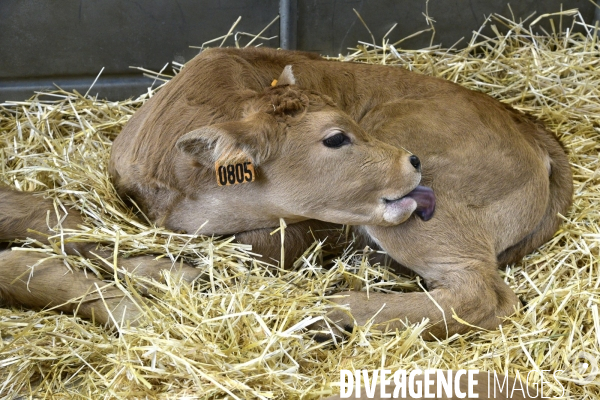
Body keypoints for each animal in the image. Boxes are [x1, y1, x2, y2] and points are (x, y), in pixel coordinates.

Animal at [1, 48, 572, 340]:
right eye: (335, 137)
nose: (410, 161)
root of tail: (534, 129)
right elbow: (58, 220)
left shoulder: (294, 234)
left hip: (432, 199)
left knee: (482, 294)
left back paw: (334, 311)